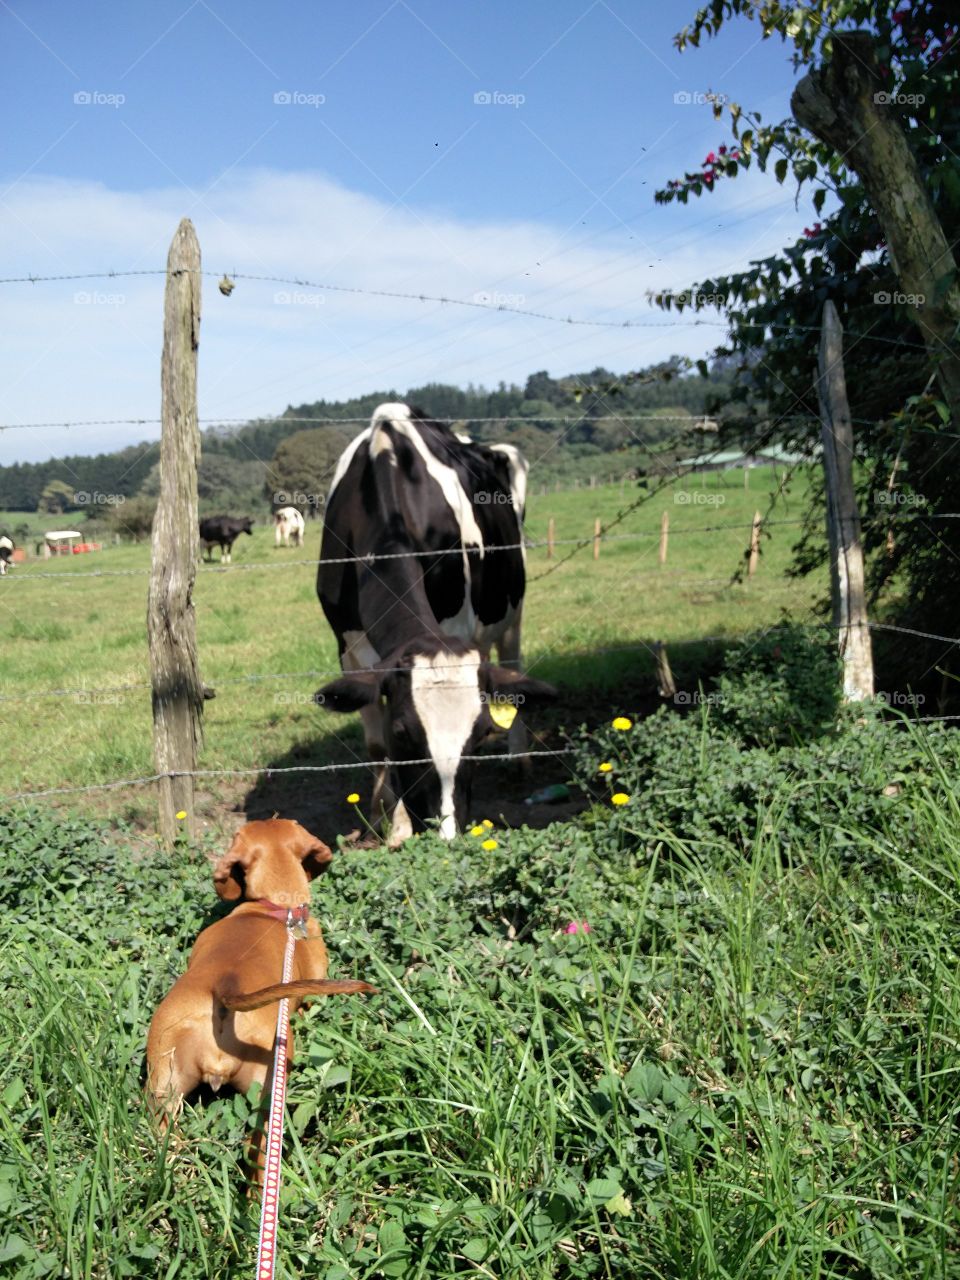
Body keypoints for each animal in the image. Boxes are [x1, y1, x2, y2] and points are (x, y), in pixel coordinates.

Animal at [316, 399, 555, 839]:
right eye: (402, 732)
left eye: (481, 735)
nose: (447, 832)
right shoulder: (347, 645)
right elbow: (375, 745)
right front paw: (387, 823)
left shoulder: (456, 628)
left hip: (513, 609)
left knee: (512, 668)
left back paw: (518, 759)